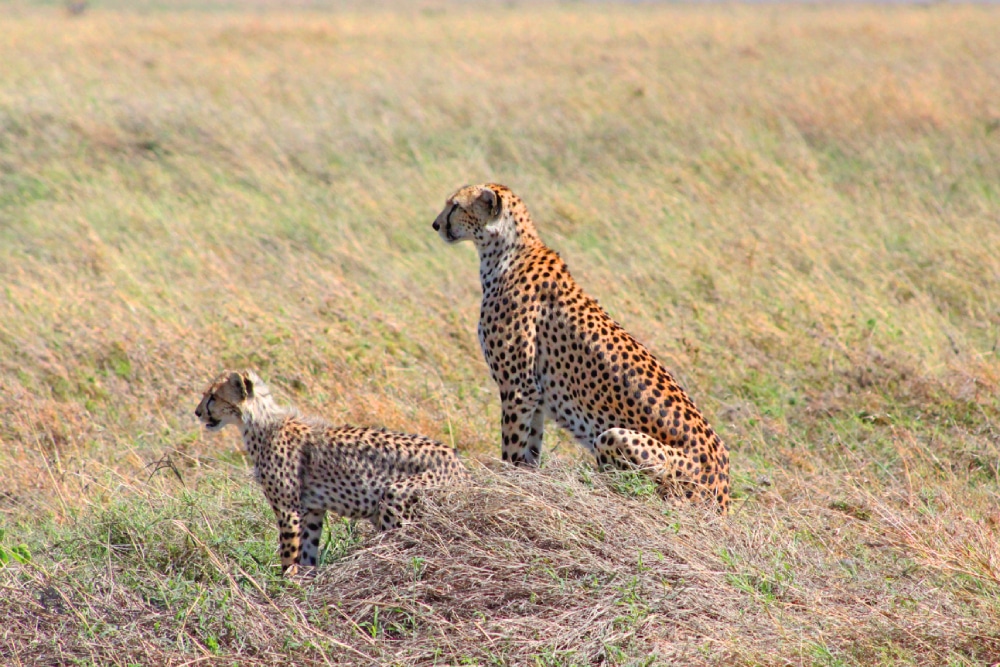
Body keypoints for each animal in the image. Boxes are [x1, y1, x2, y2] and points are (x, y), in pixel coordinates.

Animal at [199, 370, 472, 576]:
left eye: (213, 397)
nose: (197, 412)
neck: (260, 422)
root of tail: (459, 463)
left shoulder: (288, 510)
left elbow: (288, 551)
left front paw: (285, 582)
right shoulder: (312, 509)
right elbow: (307, 548)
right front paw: (307, 577)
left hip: (395, 497)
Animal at [434, 185, 732, 516]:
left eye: (455, 206)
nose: (436, 225)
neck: (506, 252)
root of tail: (724, 497)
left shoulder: (518, 388)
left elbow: (511, 447)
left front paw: (503, 484)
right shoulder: (534, 395)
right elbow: (530, 448)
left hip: (615, 437)